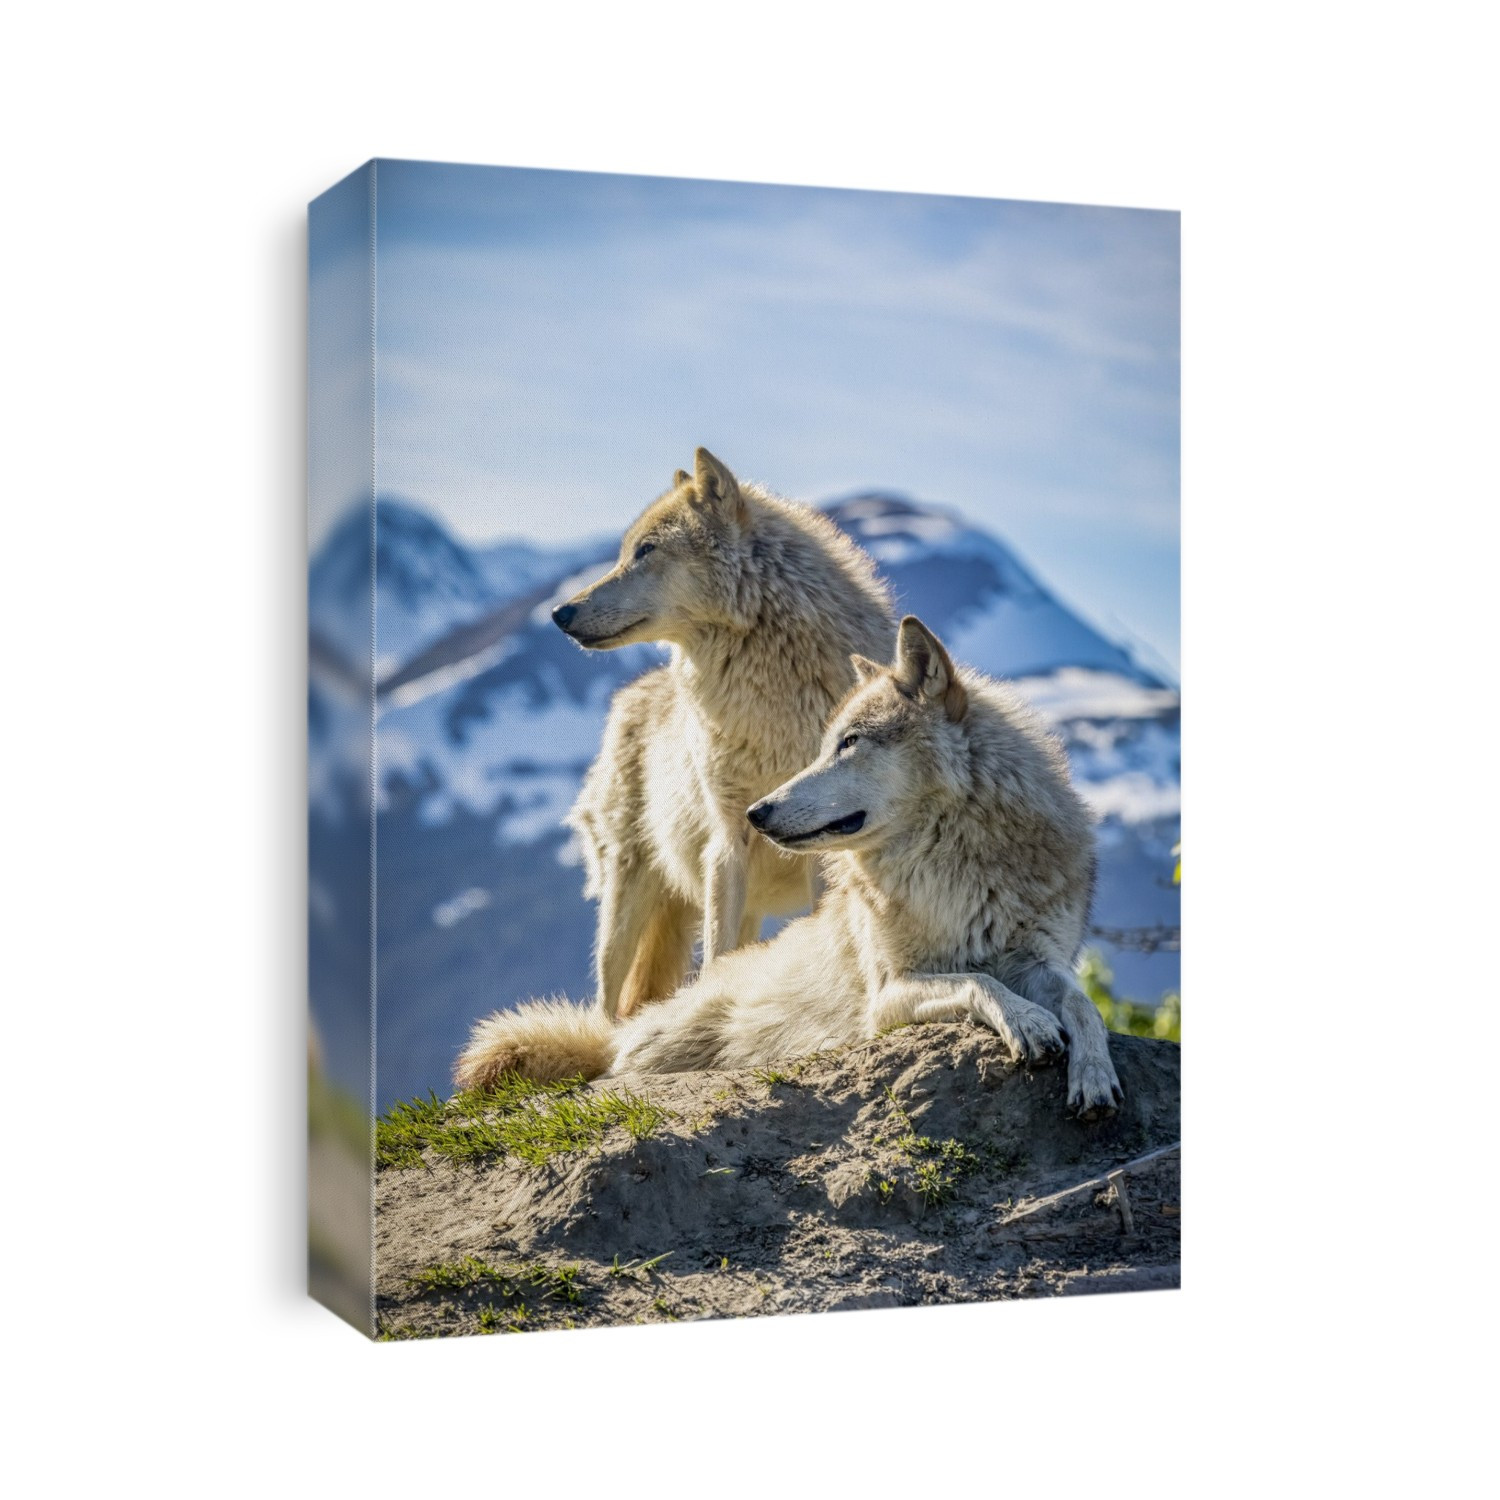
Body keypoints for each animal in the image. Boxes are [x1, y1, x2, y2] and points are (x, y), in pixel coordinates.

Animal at [457, 616, 1123, 1118]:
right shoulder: (888, 995)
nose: (757, 812)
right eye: (826, 743)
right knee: (611, 1065)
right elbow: (979, 982)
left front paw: (1094, 1073)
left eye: (849, 743)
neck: (957, 862)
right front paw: (1030, 1023)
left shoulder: (1039, 962)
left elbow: (1083, 1005)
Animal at [552, 447, 894, 1020]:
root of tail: (631, 696)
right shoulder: (727, 839)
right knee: (608, 1002)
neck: (767, 695)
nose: (559, 611)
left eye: (645, 551)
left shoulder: (822, 851)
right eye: (625, 552)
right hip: (625, 901)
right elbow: (715, 958)